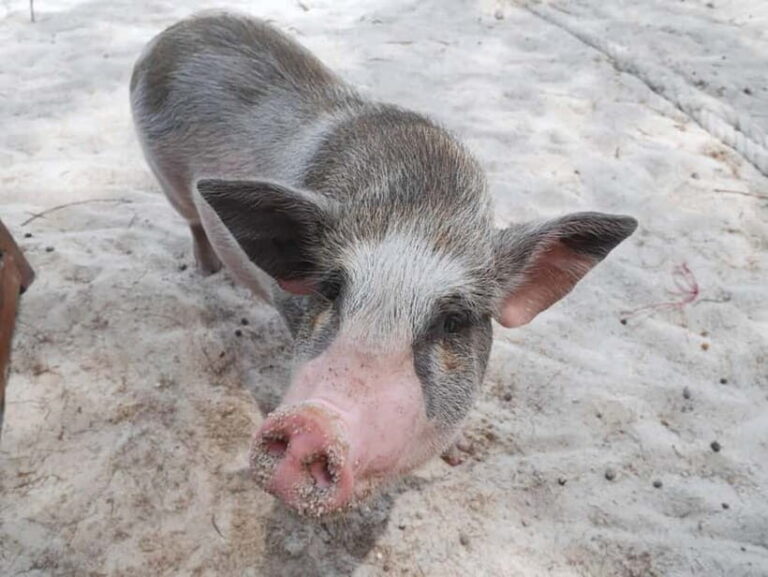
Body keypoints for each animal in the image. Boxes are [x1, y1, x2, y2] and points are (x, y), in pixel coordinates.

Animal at [129, 12, 637, 517]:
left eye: (453, 322)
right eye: (331, 291)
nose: (312, 422)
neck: (418, 209)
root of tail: (173, 31)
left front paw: (461, 455)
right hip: (169, 183)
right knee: (194, 223)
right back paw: (207, 272)